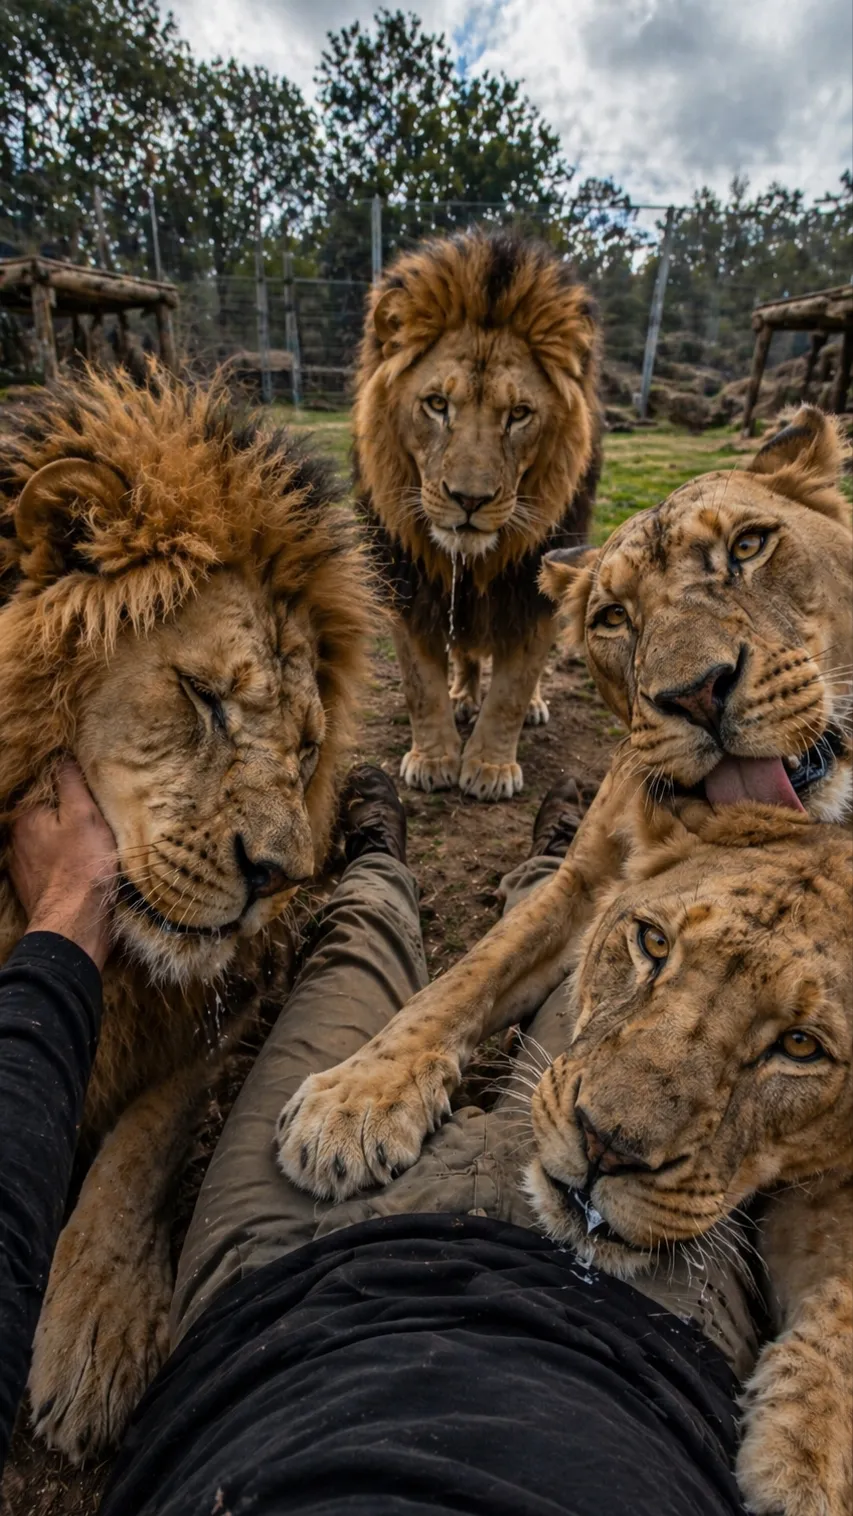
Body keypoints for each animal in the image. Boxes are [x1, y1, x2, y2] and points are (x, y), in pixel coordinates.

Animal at [0, 366, 374, 1460]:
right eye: (202, 695)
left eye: (306, 747)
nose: (280, 875)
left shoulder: (221, 1007)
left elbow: (139, 1143)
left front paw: (97, 1320)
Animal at [275, 403, 853, 1201]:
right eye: (612, 618)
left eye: (748, 545)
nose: (694, 693)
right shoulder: (584, 885)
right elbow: (461, 981)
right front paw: (354, 1096)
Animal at [353, 227, 600, 801]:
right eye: (437, 404)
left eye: (520, 414)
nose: (469, 499)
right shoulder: (409, 584)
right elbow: (420, 683)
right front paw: (434, 757)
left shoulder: (532, 591)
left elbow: (513, 686)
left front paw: (489, 767)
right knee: (466, 651)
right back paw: (463, 695)